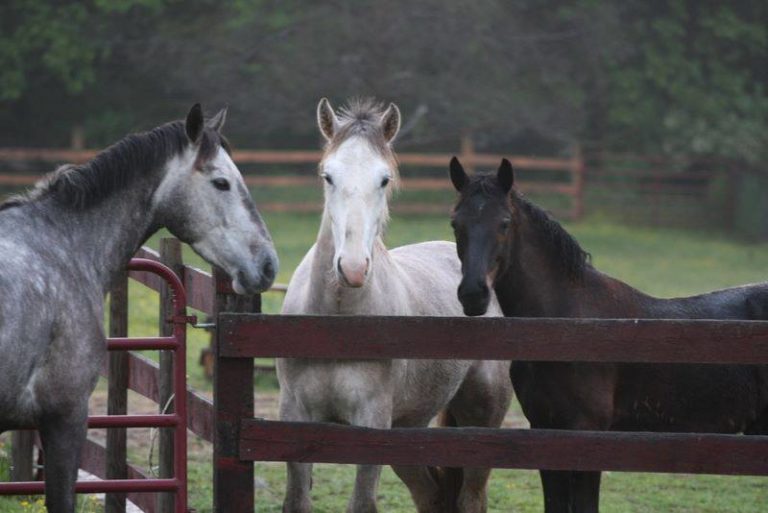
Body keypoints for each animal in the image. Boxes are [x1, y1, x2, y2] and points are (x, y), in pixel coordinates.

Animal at [277, 98, 512, 513]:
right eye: (328, 176)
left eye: (384, 179)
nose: (353, 268)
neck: (335, 325)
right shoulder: (295, 417)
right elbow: (297, 500)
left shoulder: (372, 422)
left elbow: (362, 502)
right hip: (407, 429)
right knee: (431, 495)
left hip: (481, 418)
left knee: (471, 496)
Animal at [448, 156, 768, 513]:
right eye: (455, 223)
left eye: (504, 223)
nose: (473, 294)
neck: (566, 326)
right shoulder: (545, 431)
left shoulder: (588, 435)